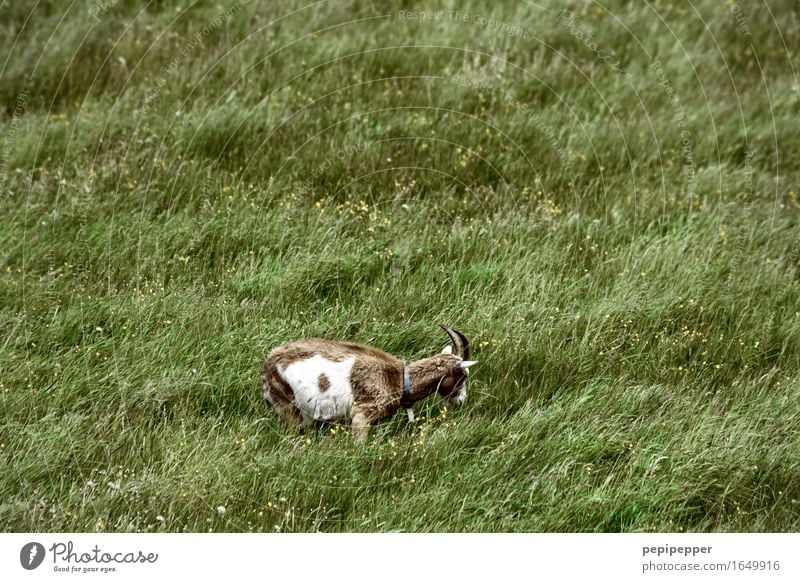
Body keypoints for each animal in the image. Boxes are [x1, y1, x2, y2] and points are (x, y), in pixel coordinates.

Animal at [260, 326, 476, 440]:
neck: (399, 380)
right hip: (290, 407)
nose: (460, 400)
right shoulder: (362, 415)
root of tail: (268, 364)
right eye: (463, 376)